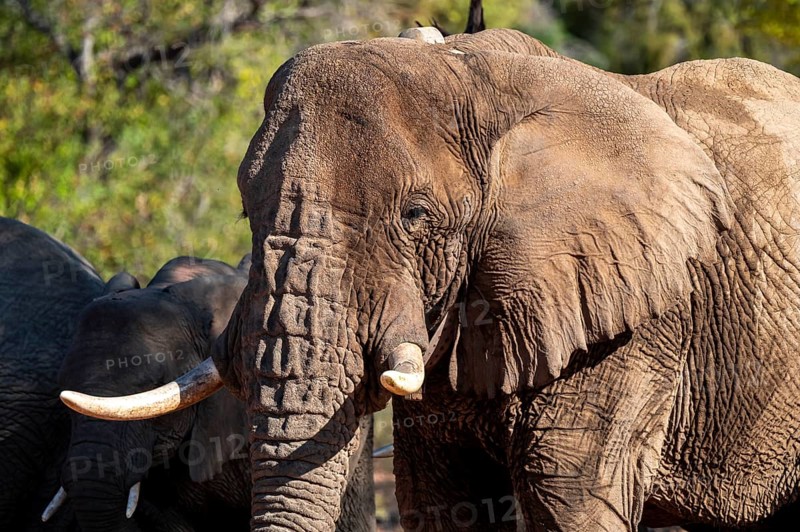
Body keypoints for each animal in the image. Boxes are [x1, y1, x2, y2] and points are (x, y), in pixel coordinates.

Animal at [61, 27, 800, 531]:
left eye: (416, 216)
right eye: (247, 209)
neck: (477, 74)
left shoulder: (637, 319)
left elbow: (567, 491)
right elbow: (440, 494)